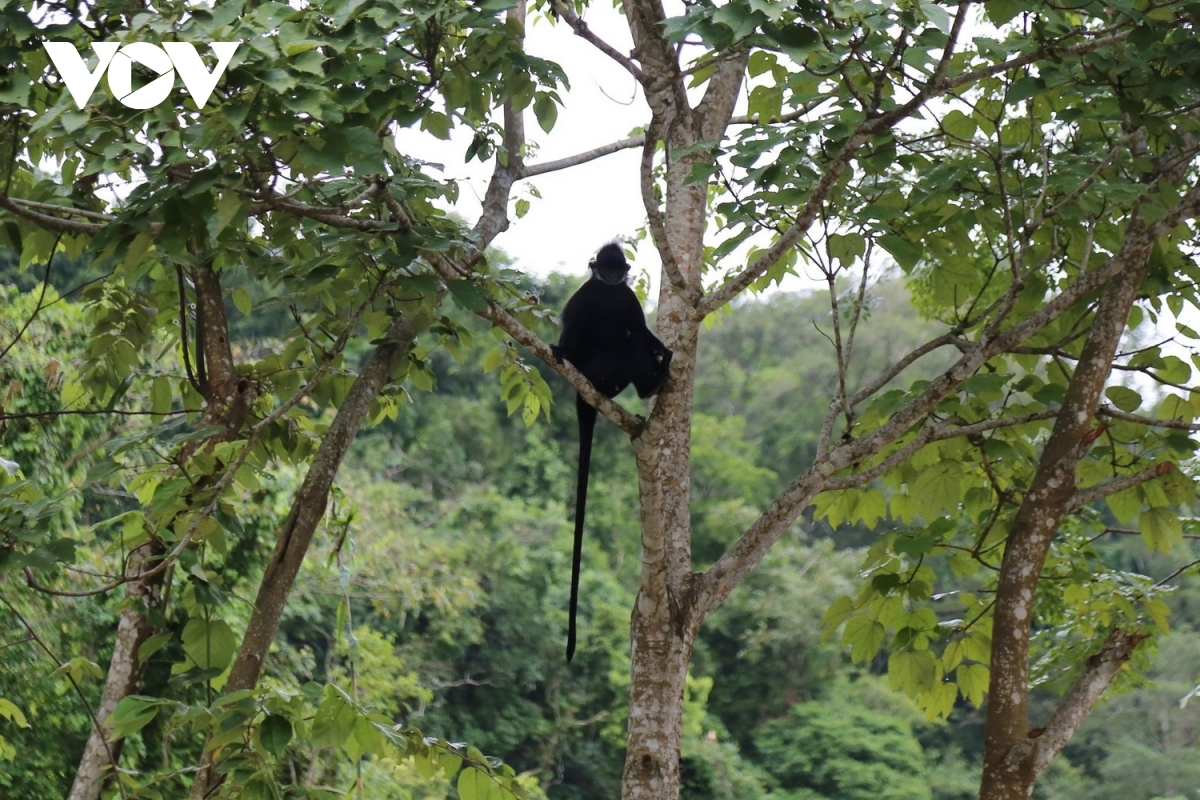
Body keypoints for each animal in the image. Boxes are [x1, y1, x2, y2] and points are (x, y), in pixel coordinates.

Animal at [554, 245, 676, 662]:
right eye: (603, 269)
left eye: (615, 269)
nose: (609, 276)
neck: (607, 294)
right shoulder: (585, 296)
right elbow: (572, 330)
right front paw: (560, 351)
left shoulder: (625, 298)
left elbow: (639, 329)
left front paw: (662, 349)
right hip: (599, 371)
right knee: (621, 345)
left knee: (631, 338)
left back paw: (653, 380)